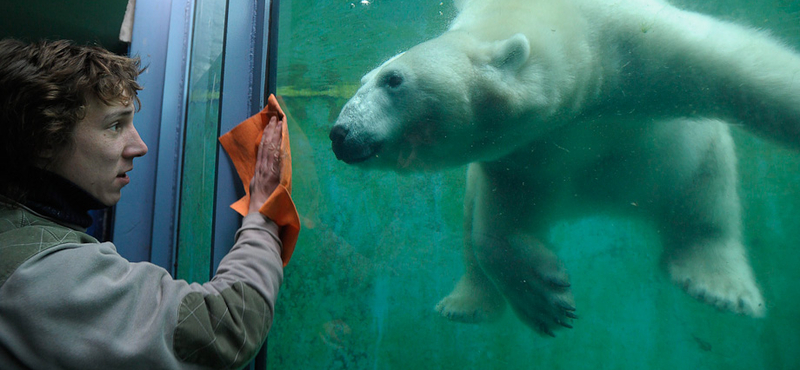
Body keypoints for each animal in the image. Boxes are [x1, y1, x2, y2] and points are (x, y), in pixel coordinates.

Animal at [326, 0, 800, 336]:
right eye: (362, 80)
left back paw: (720, 286)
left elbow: (745, 67)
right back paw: (466, 305)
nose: (340, 133)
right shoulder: (527, 150)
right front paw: (545, 296)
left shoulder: (636, 42)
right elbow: (498, 221)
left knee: (706, 195)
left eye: (393, 80)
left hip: (681, 157)